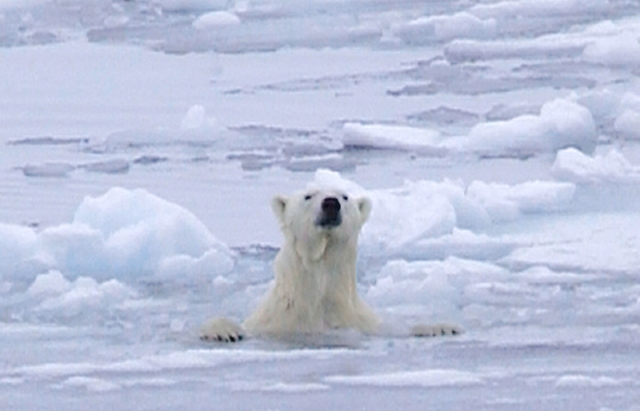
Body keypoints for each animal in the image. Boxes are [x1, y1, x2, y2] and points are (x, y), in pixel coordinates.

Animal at [200, 188, 460, 342]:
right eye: (308, 196)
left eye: (345, 196)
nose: (331, 203)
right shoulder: (272, 323)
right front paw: (224, 331)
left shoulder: (361, 322)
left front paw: (441, 327)